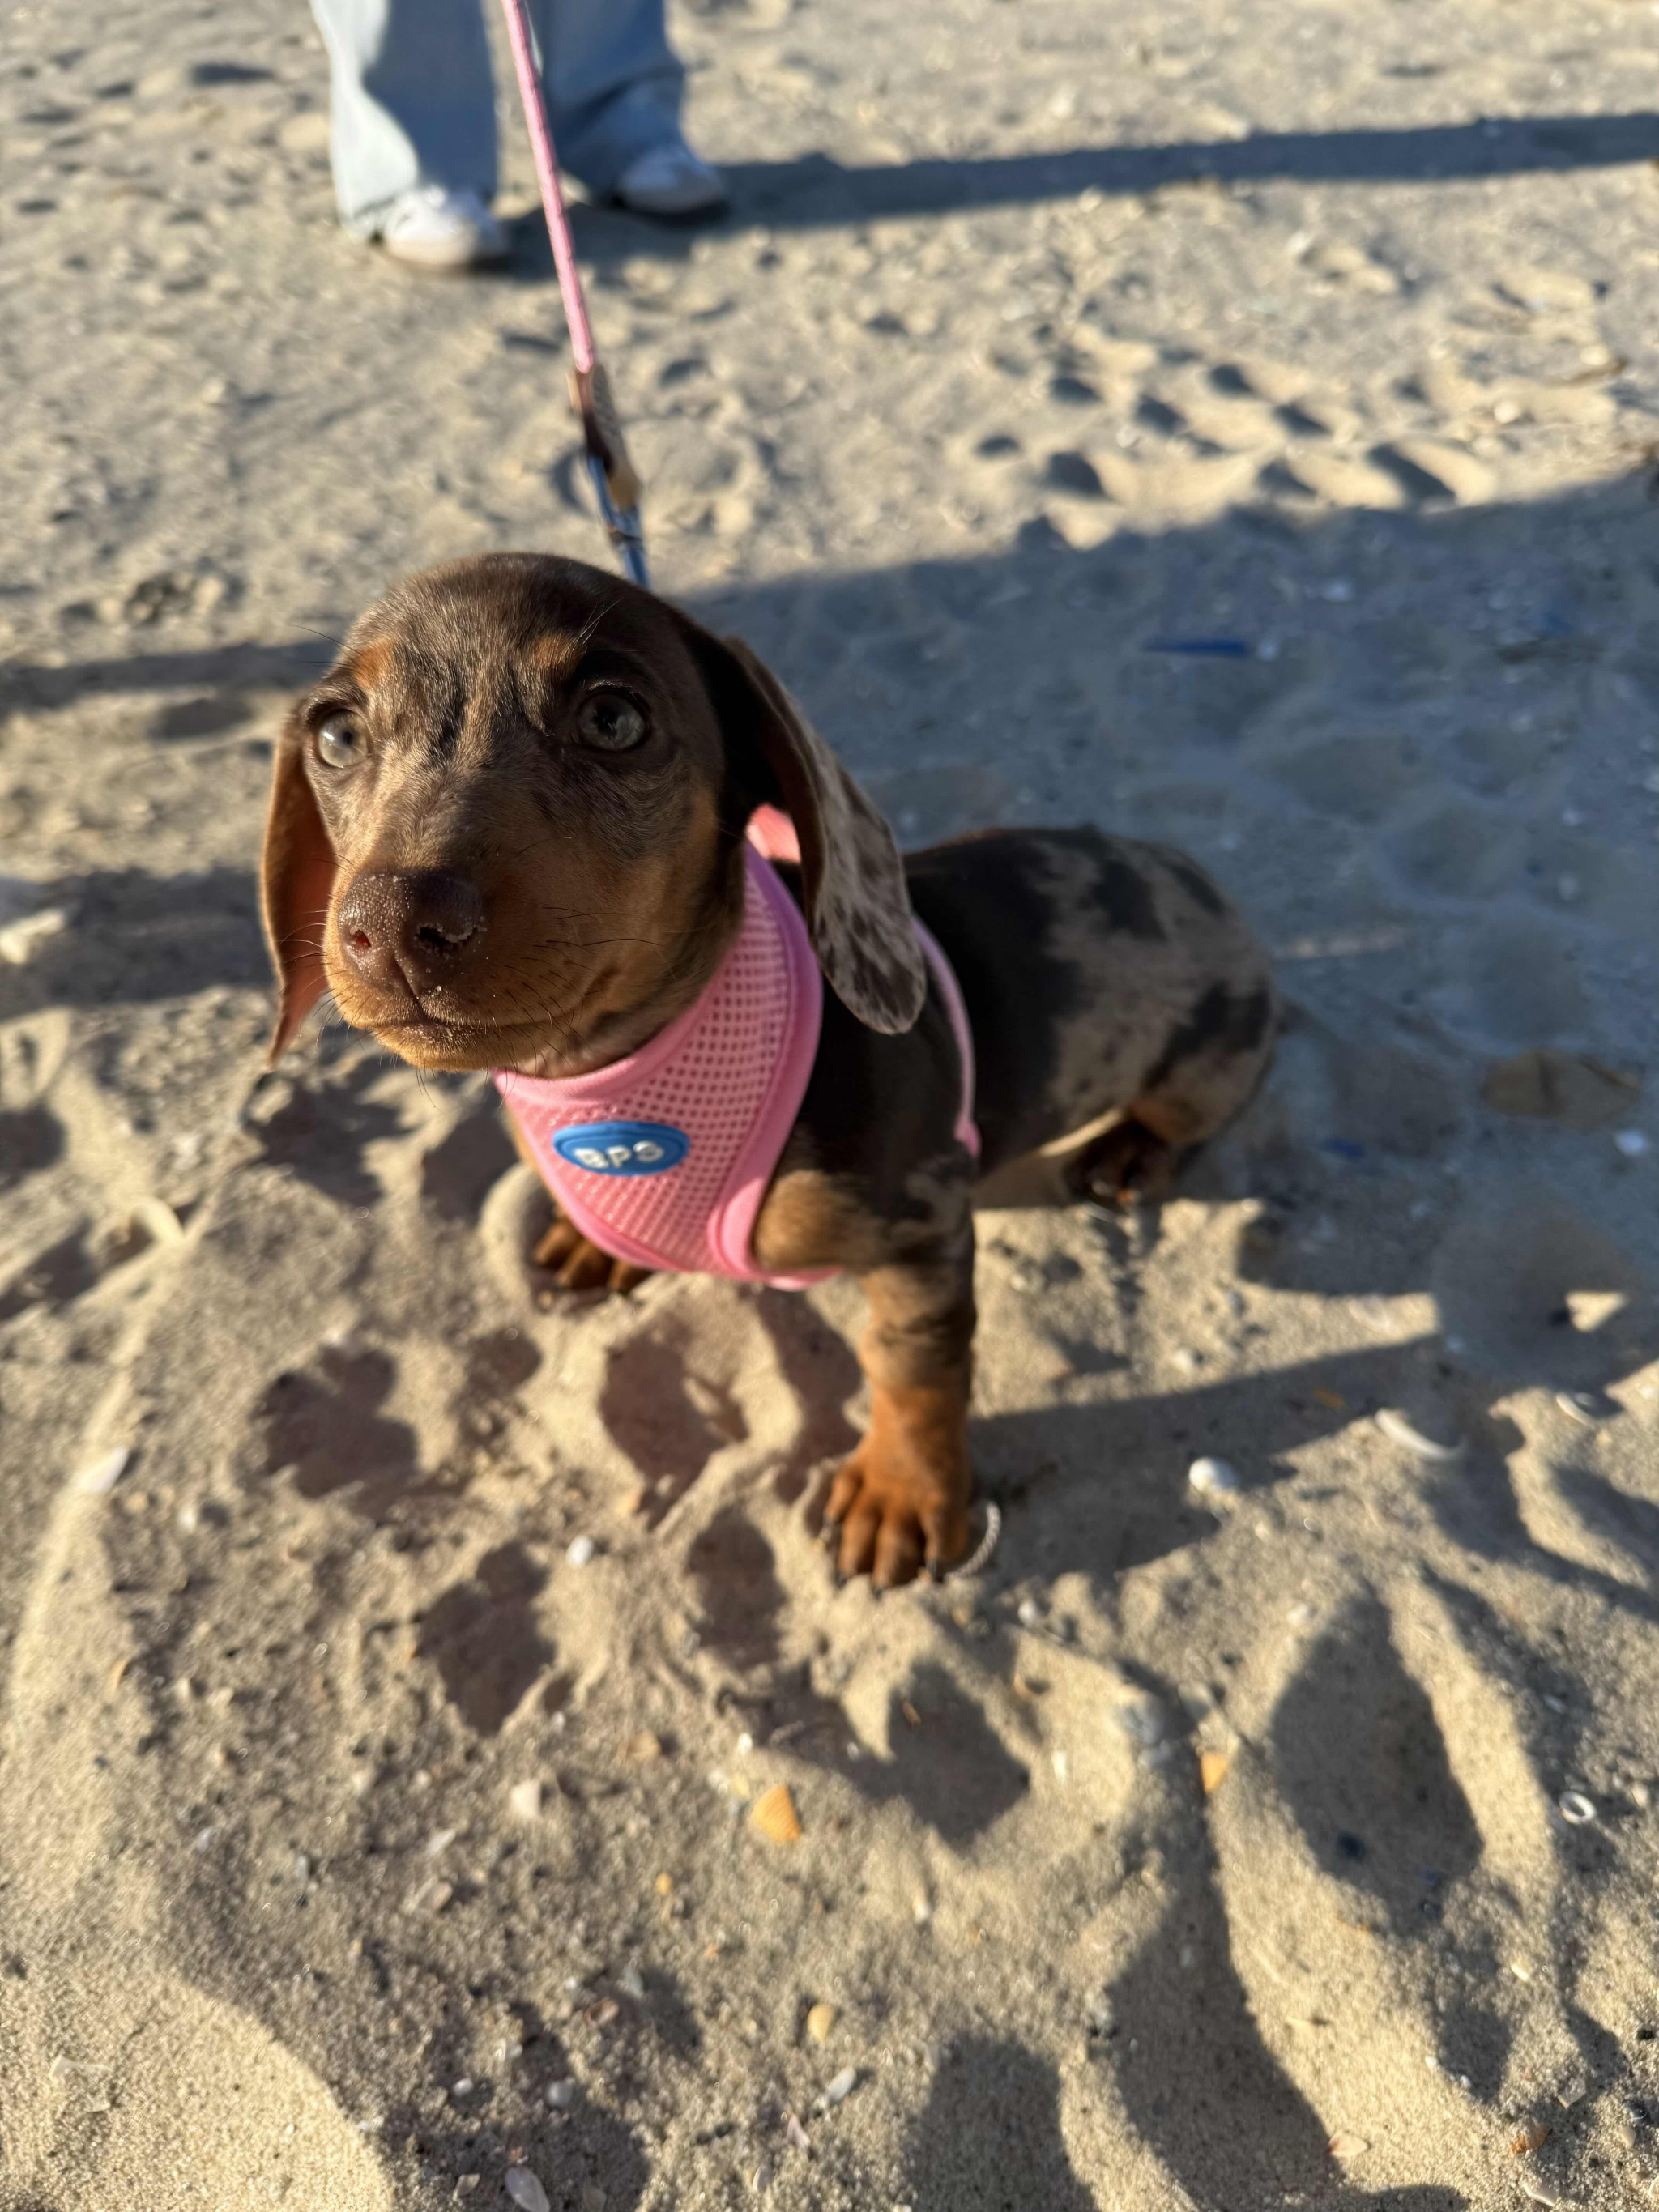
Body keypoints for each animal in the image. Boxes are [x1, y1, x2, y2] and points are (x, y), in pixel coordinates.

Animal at [260, 553, 1277, 1588]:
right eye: (336, 733)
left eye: (613, 719)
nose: (389, 922)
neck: (618, 1075)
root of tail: (1190, 871)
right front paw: (596, 1243)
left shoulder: (922, 1226)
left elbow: (911, 1368)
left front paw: (902, 1493)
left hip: (1206, 1055)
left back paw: (1127, 1155)